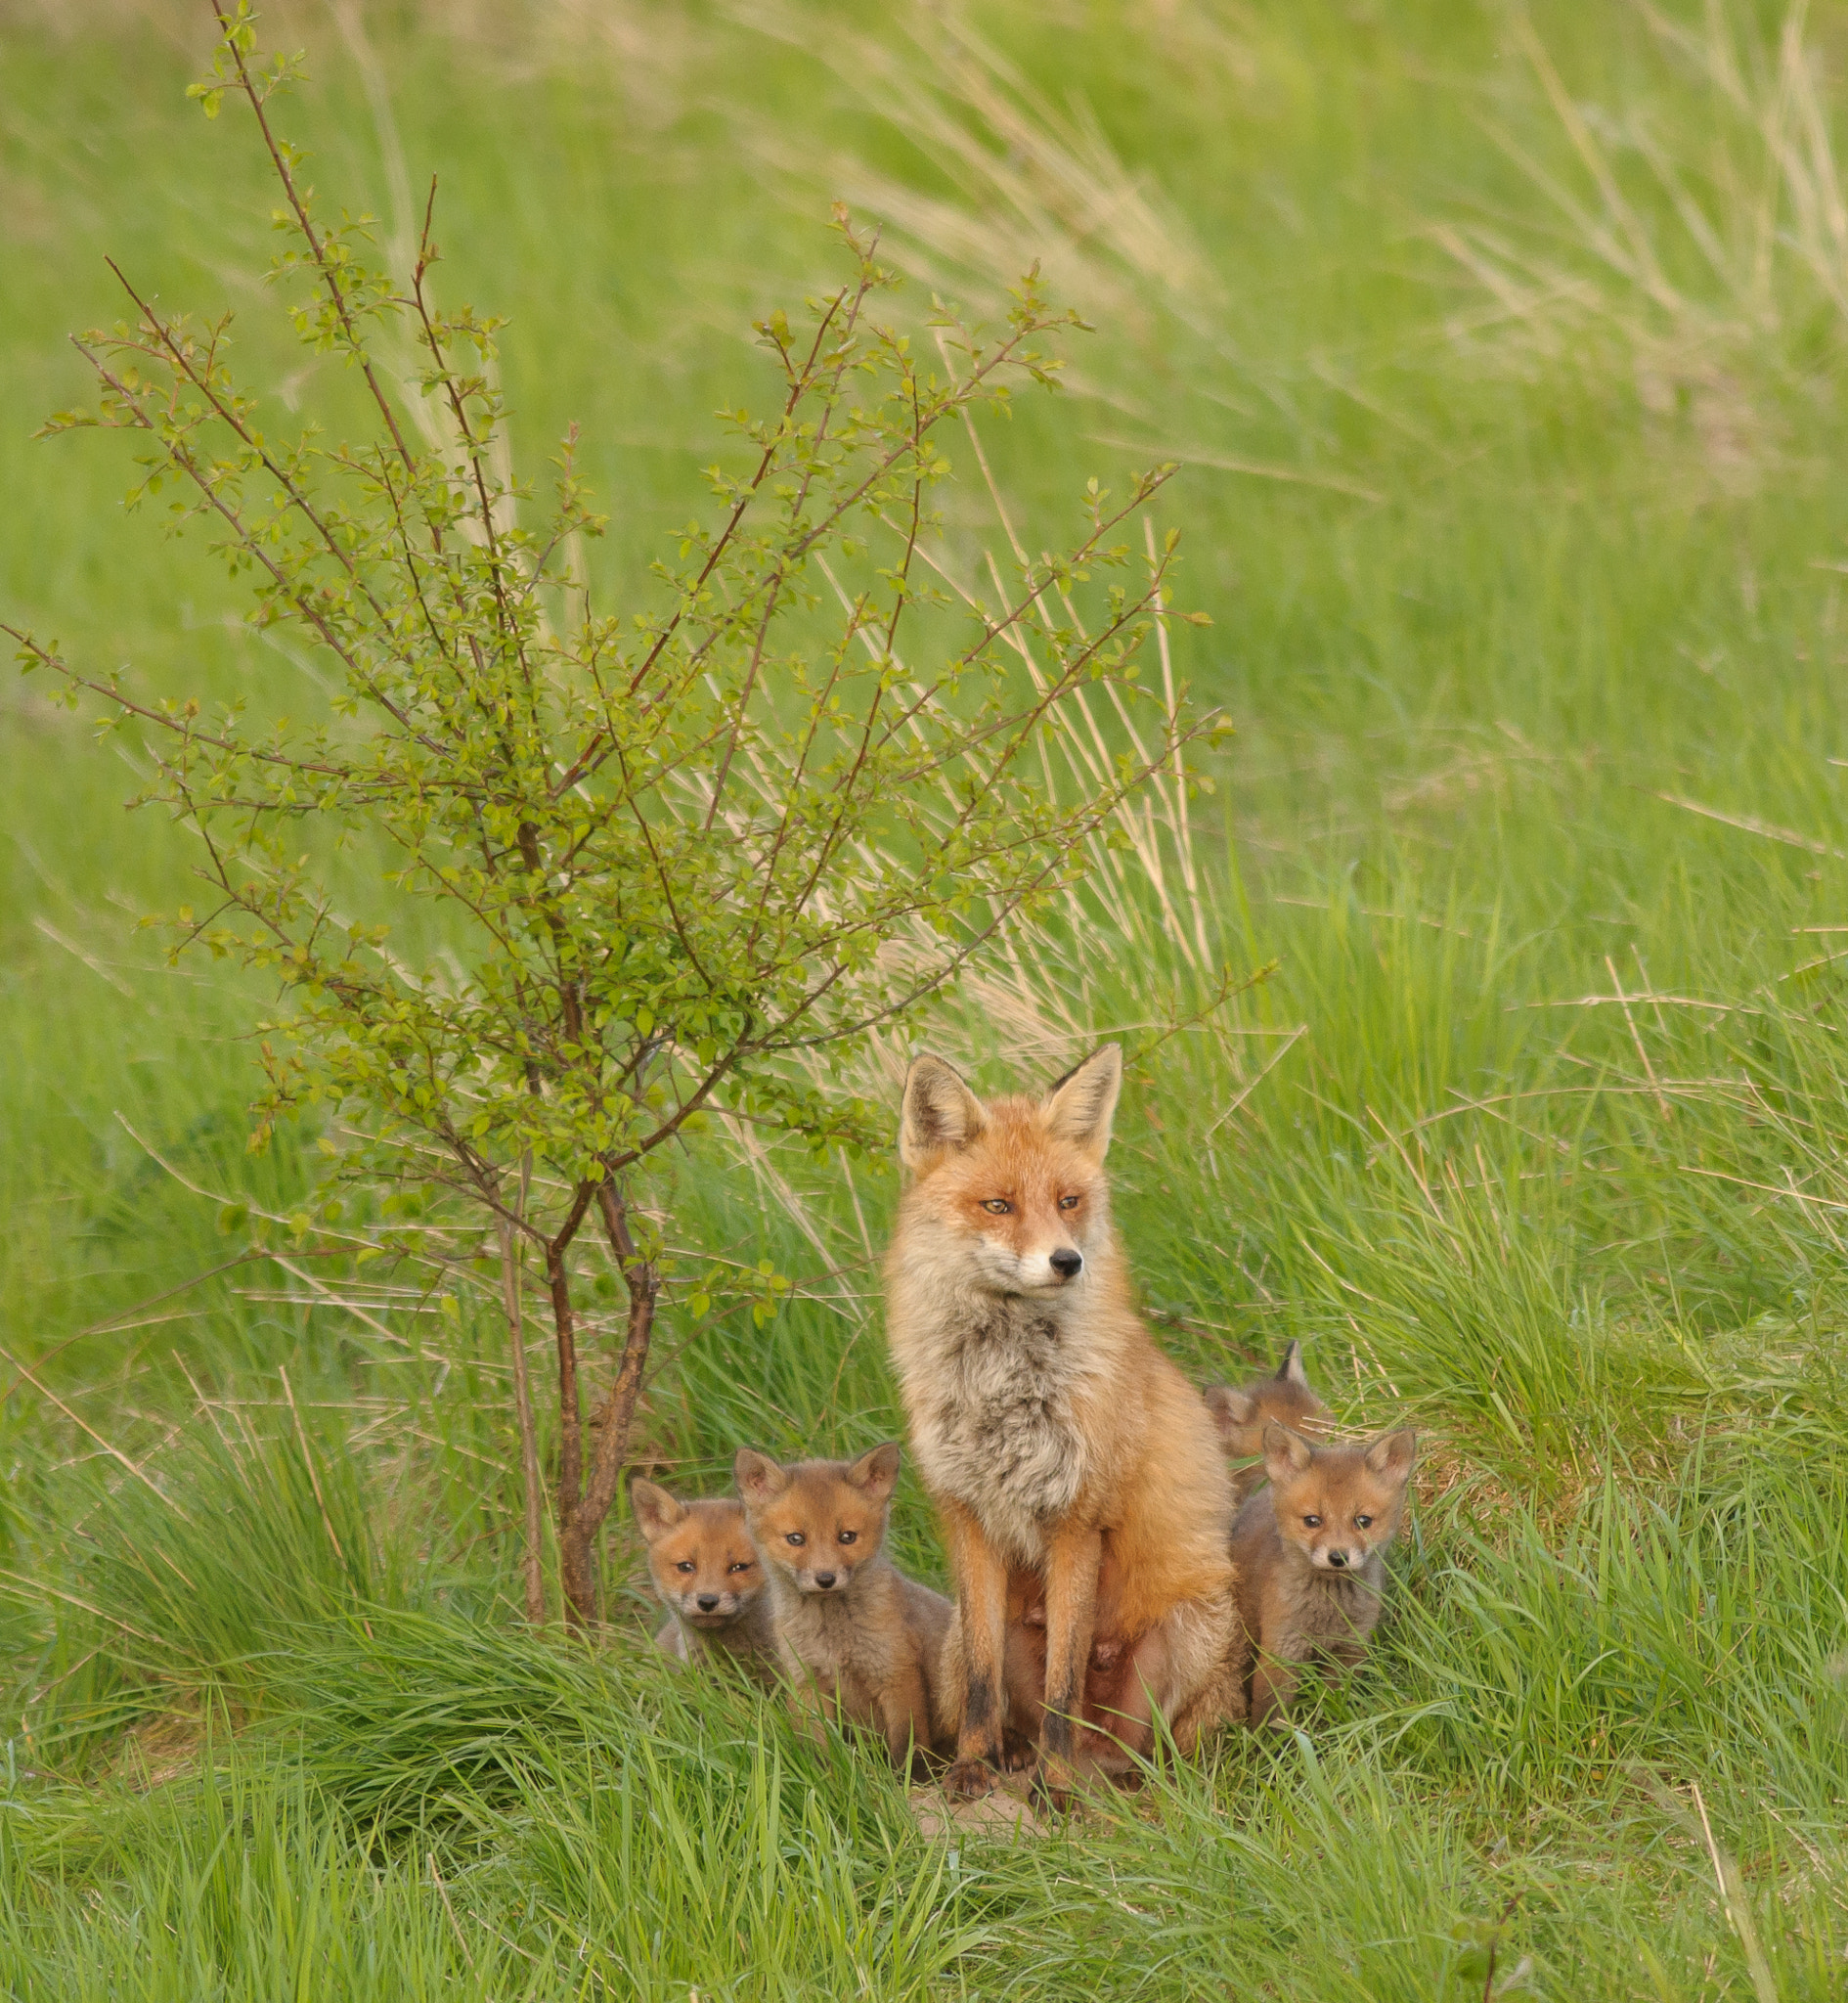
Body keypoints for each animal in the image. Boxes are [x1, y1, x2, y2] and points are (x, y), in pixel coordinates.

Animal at [734, 1441, 953, 1771]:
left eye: (847, 1537)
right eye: (795, 1538)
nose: (825, 1578)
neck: (833, 1642)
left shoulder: (896, 1675)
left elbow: (907, 1749)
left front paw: (909, 1781)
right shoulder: (806, 1680)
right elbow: (820, 1749)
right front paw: (826, 1774)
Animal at [886, 1044, 1242, 1808]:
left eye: (1068, 1202)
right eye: (999, 1205)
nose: (1067, 1261)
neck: (1004, 1386)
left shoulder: (1077, 1519)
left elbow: (1063, 1684)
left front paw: (1053, 1791)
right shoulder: (967, 1515)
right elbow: (987, 1685)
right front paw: (973, 1768)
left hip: (1194, 1633)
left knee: (1149, 1749)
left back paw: (1105, 1779)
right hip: (960, 1636)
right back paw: (1014, 1758)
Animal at [1230, 1421, 1416, 1725]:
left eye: (1362, 1521)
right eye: (1312, 1520)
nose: (1338, 1557)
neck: (1329, 1611)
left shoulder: (1349, 1649)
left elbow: (1334, 1702)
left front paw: (1329, 1730)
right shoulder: (1282, 1651)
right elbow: (1271, 1715)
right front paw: (1268, 1740)